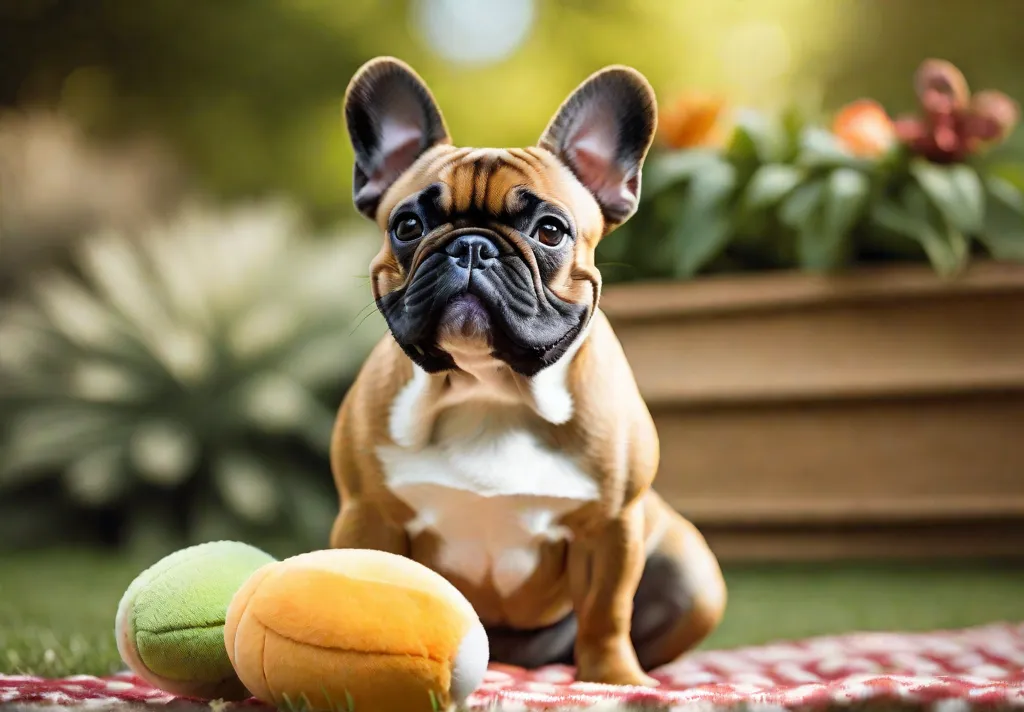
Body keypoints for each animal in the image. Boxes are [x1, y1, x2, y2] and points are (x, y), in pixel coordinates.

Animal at [329, 58, 729, 688]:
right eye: (408, 225)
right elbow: (367, 592)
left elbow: (608, 611)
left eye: (549, 231)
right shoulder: (367, 514)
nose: (471, 246)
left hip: (694, 576)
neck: (489, 390)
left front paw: (614, 680)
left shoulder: (611, 529)